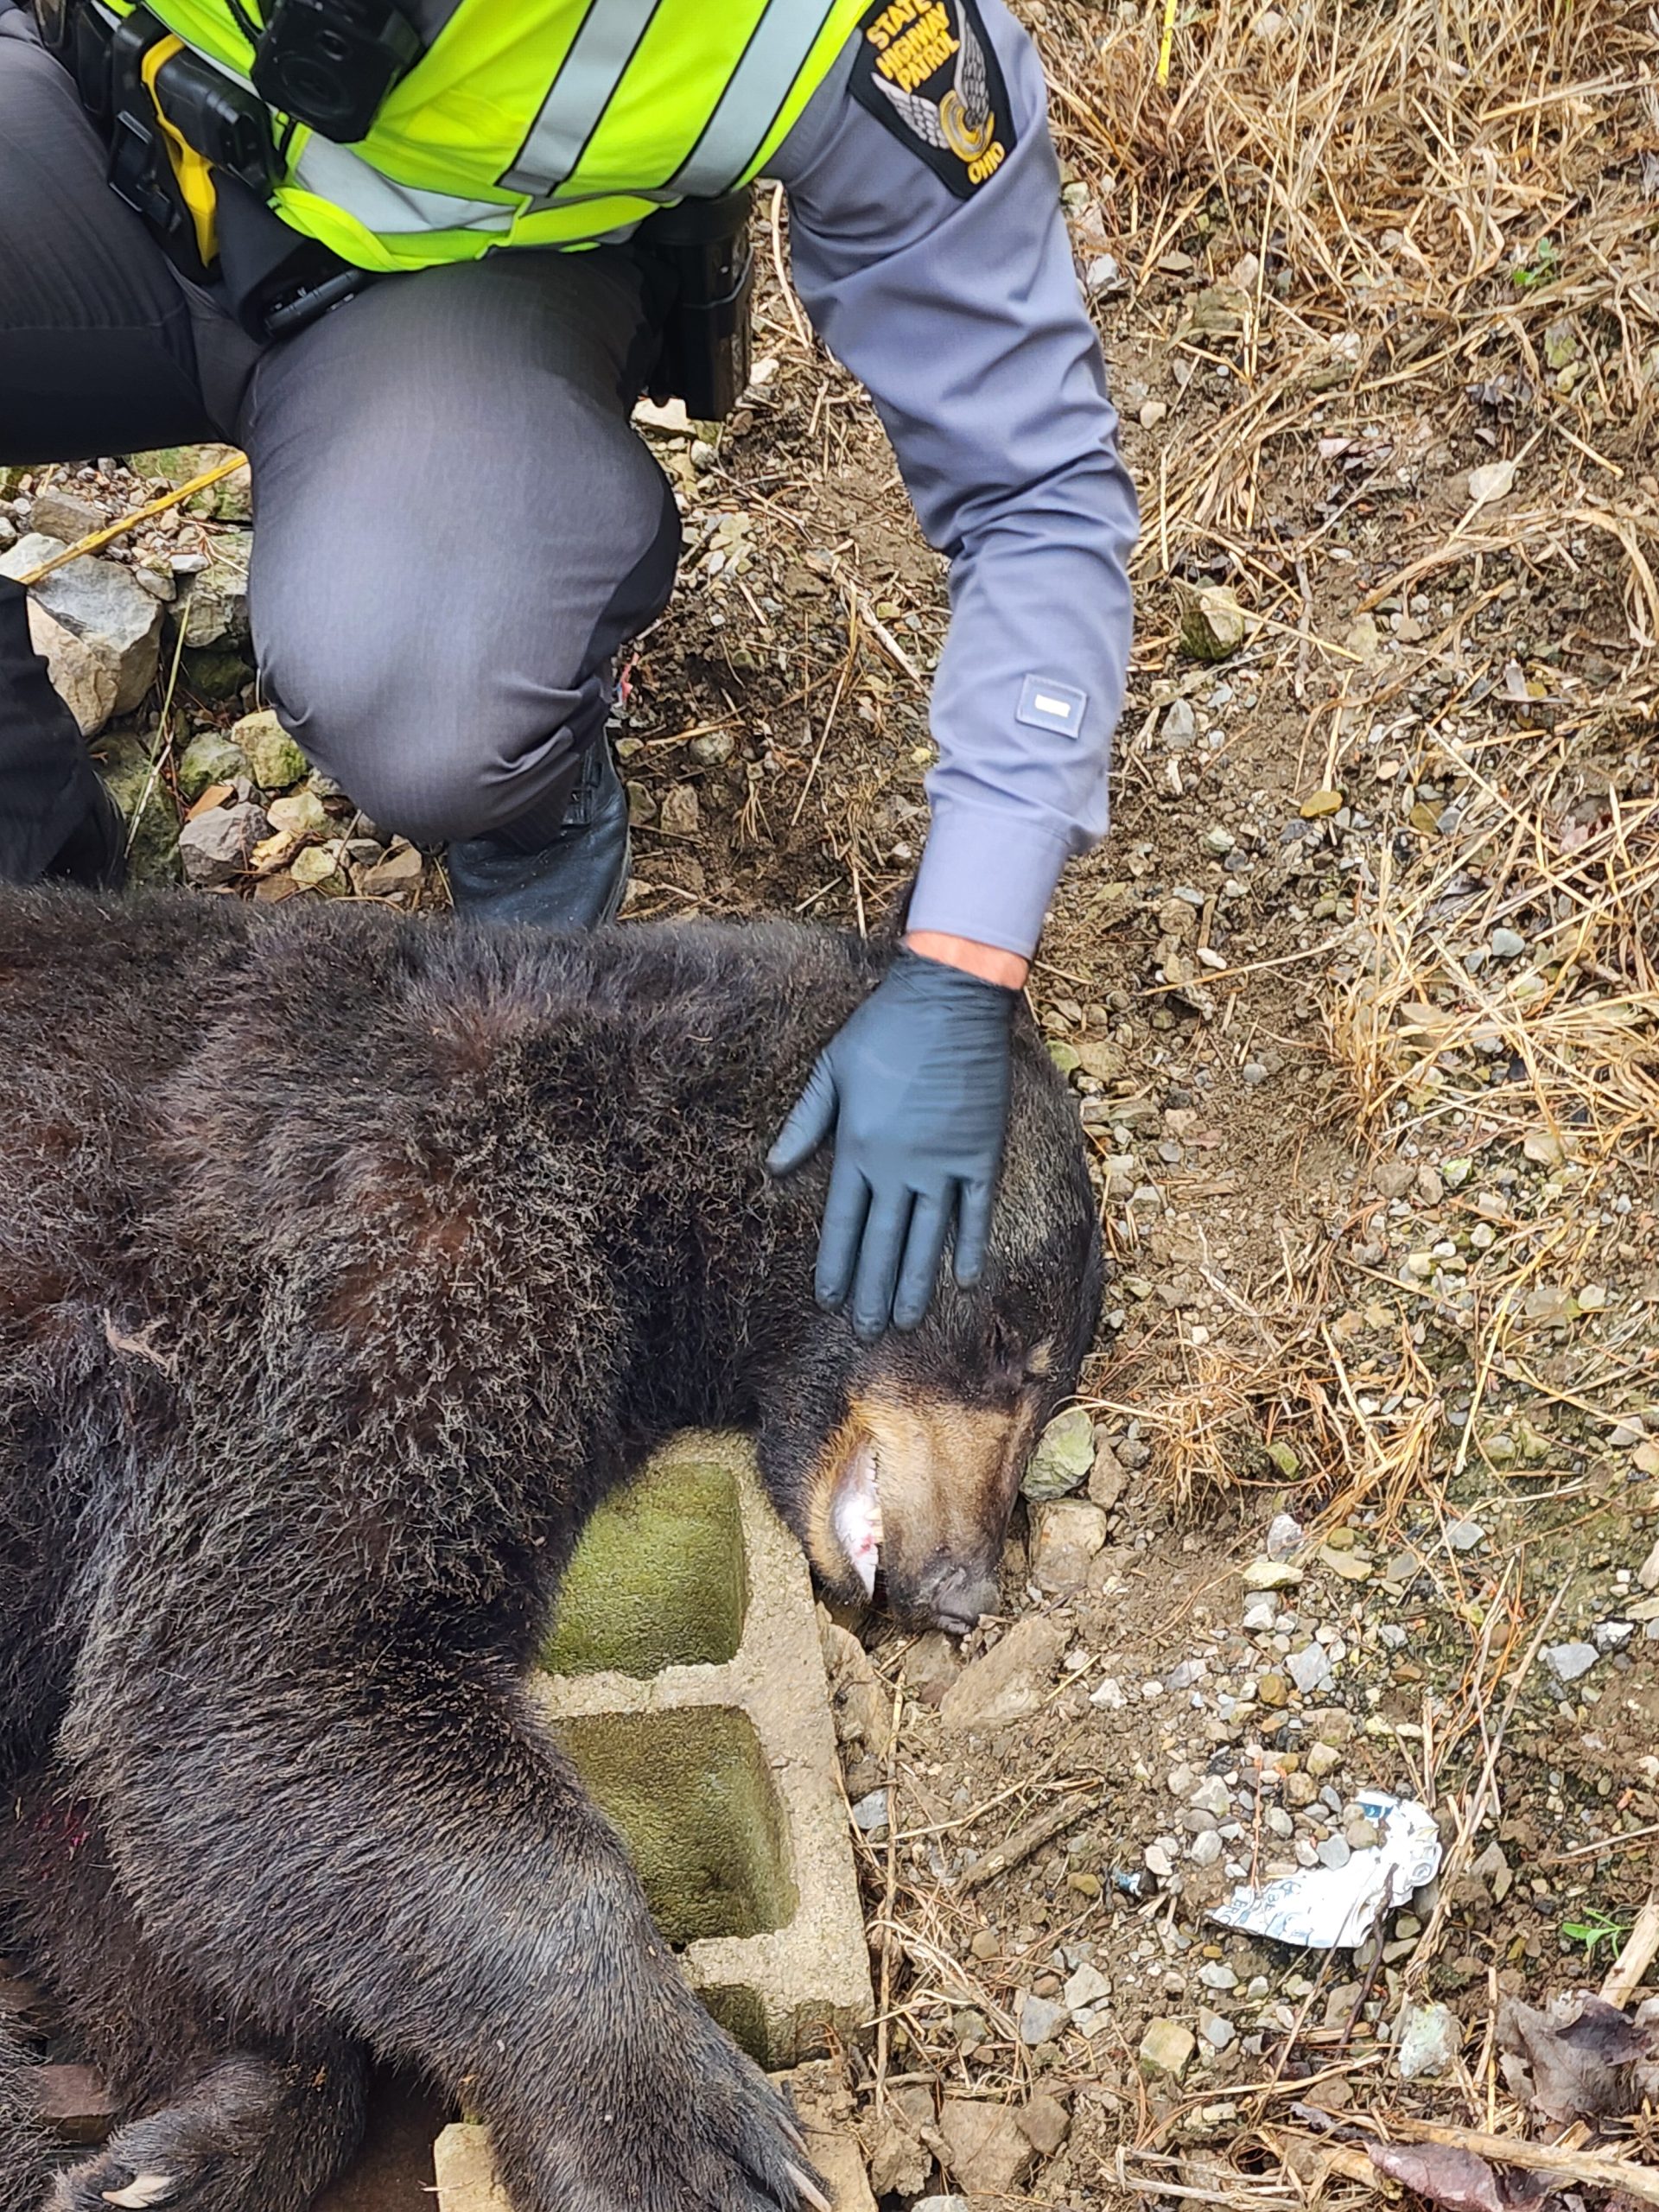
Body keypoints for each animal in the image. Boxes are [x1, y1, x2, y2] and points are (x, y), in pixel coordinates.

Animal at [0, 885, 1102, 2212]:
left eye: (1053, 1375)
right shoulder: (383, 1244)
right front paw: (683, 2136)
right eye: (1018, 1352)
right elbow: (265, 1665)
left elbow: (106, 1833)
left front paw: (180, 2143)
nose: (968, 1586)